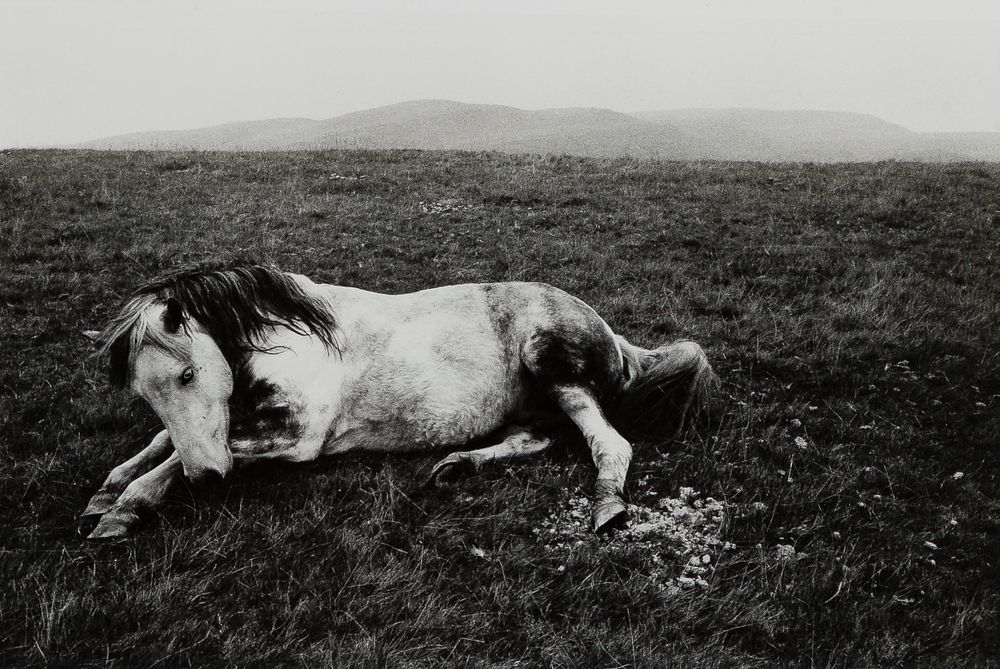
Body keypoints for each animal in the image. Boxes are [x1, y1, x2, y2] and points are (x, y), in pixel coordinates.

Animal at [80, 263, 716, 540]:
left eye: (188, 374)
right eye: (145, 392)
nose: (208, 477)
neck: (296, 339)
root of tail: (611, 334)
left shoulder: (297, 439)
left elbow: (180, 459)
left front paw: (124, 508)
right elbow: (163, 441)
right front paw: (109, 489)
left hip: (556, 371)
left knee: (609, 443)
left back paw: (608, 508)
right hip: (533, 406)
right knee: (535, 439)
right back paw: (457, 464)